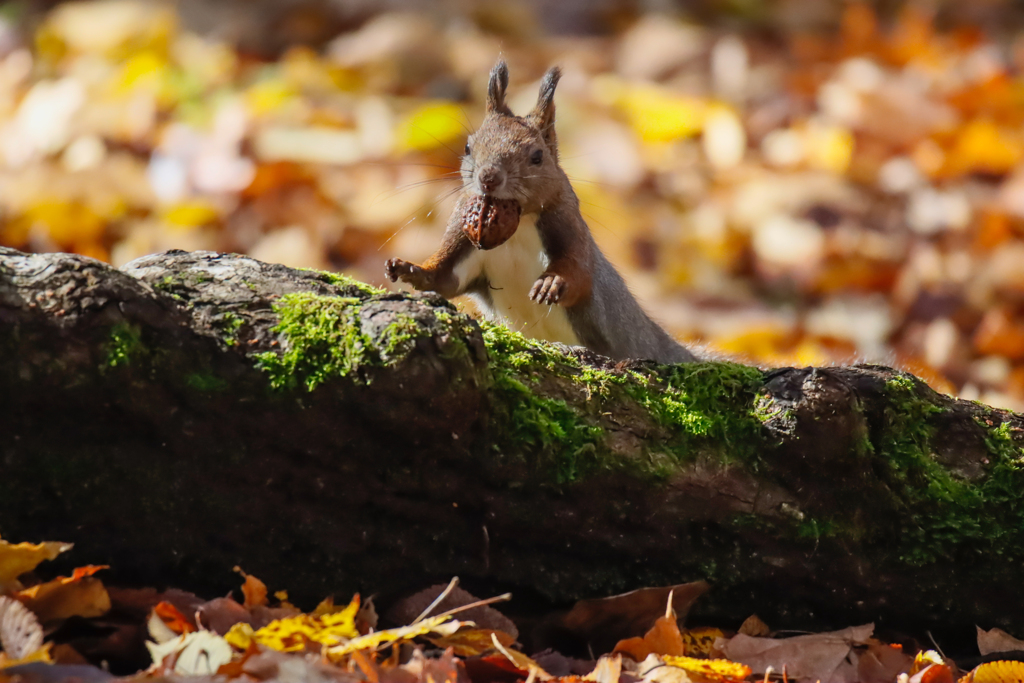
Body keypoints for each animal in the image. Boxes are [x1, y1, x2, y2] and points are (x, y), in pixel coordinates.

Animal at [385, 61, 696, 366]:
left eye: (537, 156)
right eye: (468, 146)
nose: (489, 178)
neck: (518, 223)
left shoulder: (571, 230)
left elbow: (578, 274)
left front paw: (551, 282)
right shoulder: (463, 238)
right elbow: (444, 279)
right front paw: (409, 268)